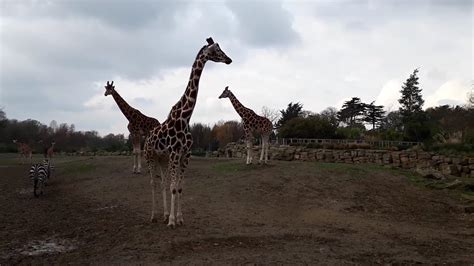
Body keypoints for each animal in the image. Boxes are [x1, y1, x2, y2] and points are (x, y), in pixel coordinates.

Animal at [145, 37, 232, 228]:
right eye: (215, 50)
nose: (229, 59)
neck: (184, 119)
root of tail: (147, 138)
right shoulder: (174, 154)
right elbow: (173, 187)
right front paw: (172, 221)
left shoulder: (185, 155)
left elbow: (178, 187)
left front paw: (178, 218)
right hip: (150, 156)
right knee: (153, 183)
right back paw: (153, 216)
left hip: (162, 159)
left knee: (162, 183)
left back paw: (163, 215)